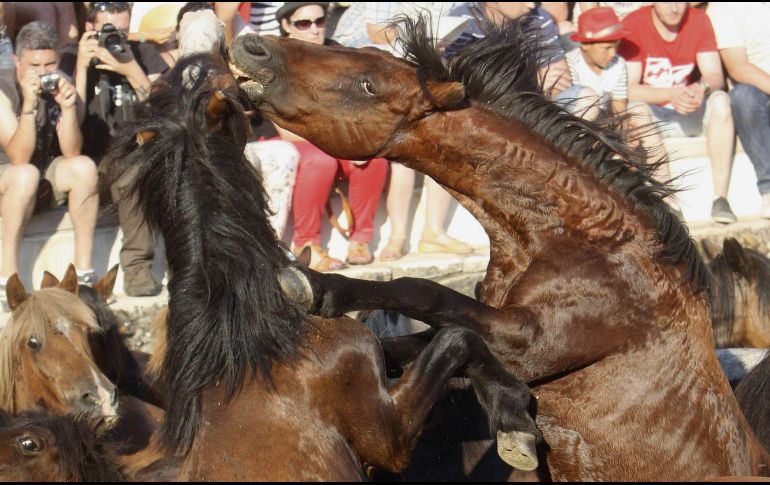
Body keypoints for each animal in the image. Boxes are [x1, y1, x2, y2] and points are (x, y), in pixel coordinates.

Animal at [230, 17, 770, 480]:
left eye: (368, 84)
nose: (252, 47)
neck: (583, 238)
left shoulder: (532, 341)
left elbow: (425, 293)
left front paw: (316, 285)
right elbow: (428, 340)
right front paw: (512, 417)